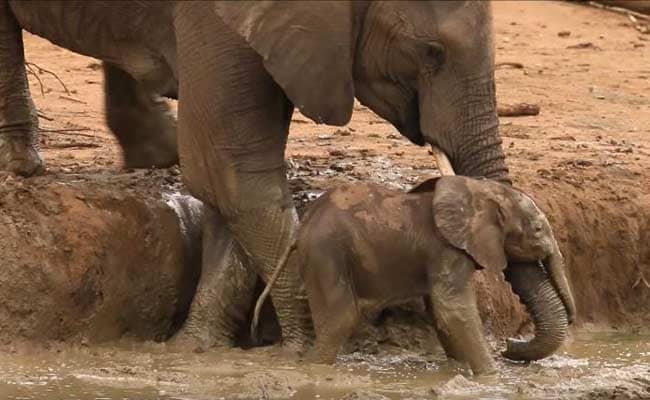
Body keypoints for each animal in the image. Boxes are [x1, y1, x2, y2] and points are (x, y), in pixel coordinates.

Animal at [253, 175, 572, 376]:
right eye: (538, 230)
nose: (509, 345)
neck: (480, 190)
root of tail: (301, 229)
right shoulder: (446, 250)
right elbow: (454, 310)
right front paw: (491, 377)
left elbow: (441, 313)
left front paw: (457, 368)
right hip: (328, 254)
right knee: (341, 317)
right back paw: (315, 368)